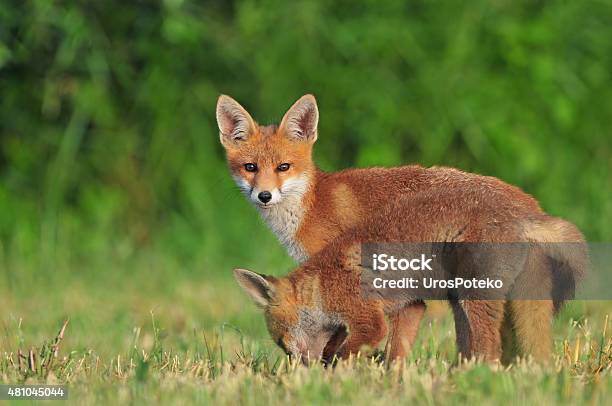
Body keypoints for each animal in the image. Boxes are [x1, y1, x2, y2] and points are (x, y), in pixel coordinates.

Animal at [218, 93, 584, 362]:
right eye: (250, 167)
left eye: (283, 167)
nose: (264, 196)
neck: (313, 203)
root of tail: (529, 207)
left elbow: (348, 336)